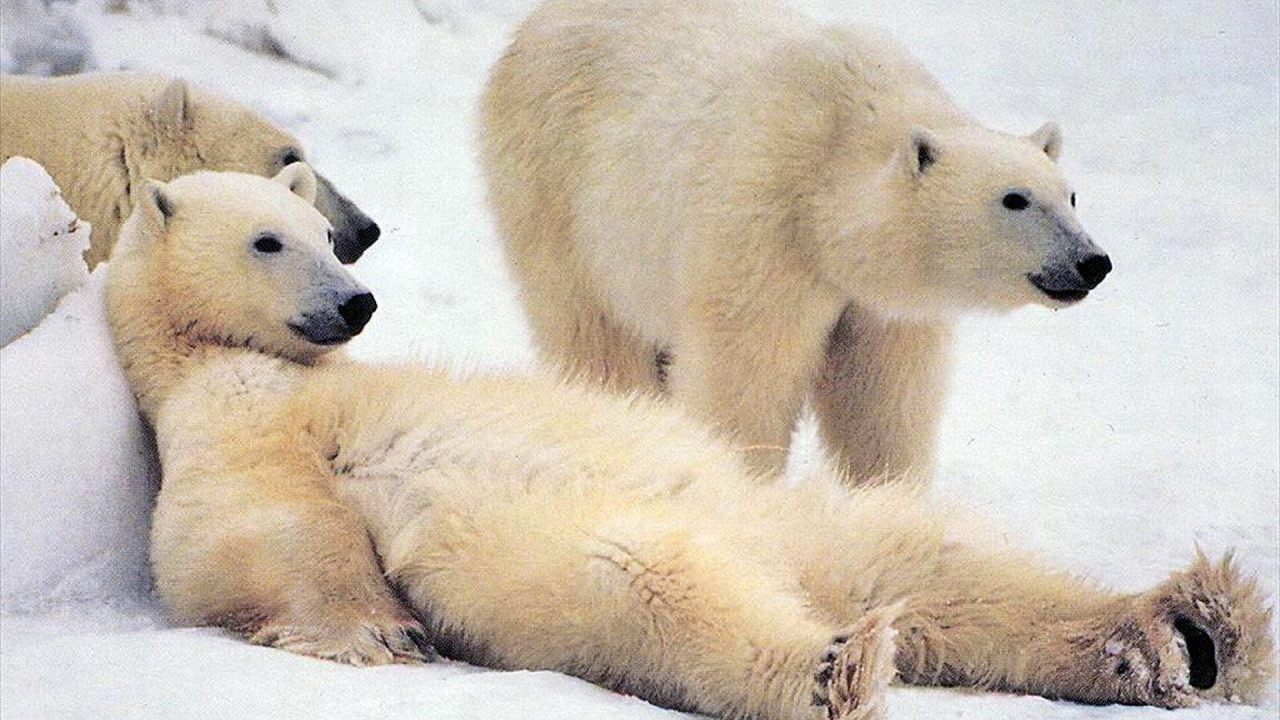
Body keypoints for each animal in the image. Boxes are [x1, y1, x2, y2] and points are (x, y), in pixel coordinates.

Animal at [104, 167, 1272, 719]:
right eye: (269, 240)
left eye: (324, 236)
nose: (355, 301)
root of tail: (783, 569)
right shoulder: (224, 423)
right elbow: (246, 534)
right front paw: (377, 632)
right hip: (587, 547)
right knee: (648, 584)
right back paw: (833, 667)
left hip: (789, 516)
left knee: (935, 562)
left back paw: (1186, 631)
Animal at [479, 0, 1112, 483]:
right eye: (1014, 199)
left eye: (1071, 195)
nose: (1092, 262)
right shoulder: (764, 228)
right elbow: (747, 374)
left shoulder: (882, 305)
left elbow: (882, 398)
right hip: (560, 192)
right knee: (595, 335)